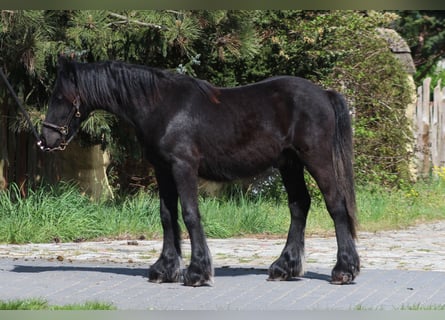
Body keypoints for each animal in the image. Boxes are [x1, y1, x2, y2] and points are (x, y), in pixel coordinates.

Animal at [41, 57, 360, 288]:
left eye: (60, 97)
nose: (47, 138)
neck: (161, 106)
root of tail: (324, 94)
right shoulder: (163, 170)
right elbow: (167, 216)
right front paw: (165, 268)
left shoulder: (183, 167)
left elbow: (190, 214)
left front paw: (196, 272)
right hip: (289, 164)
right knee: (299, 206)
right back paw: (284, 267)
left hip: (316, 159)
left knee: (335, 206)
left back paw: (344, 270)